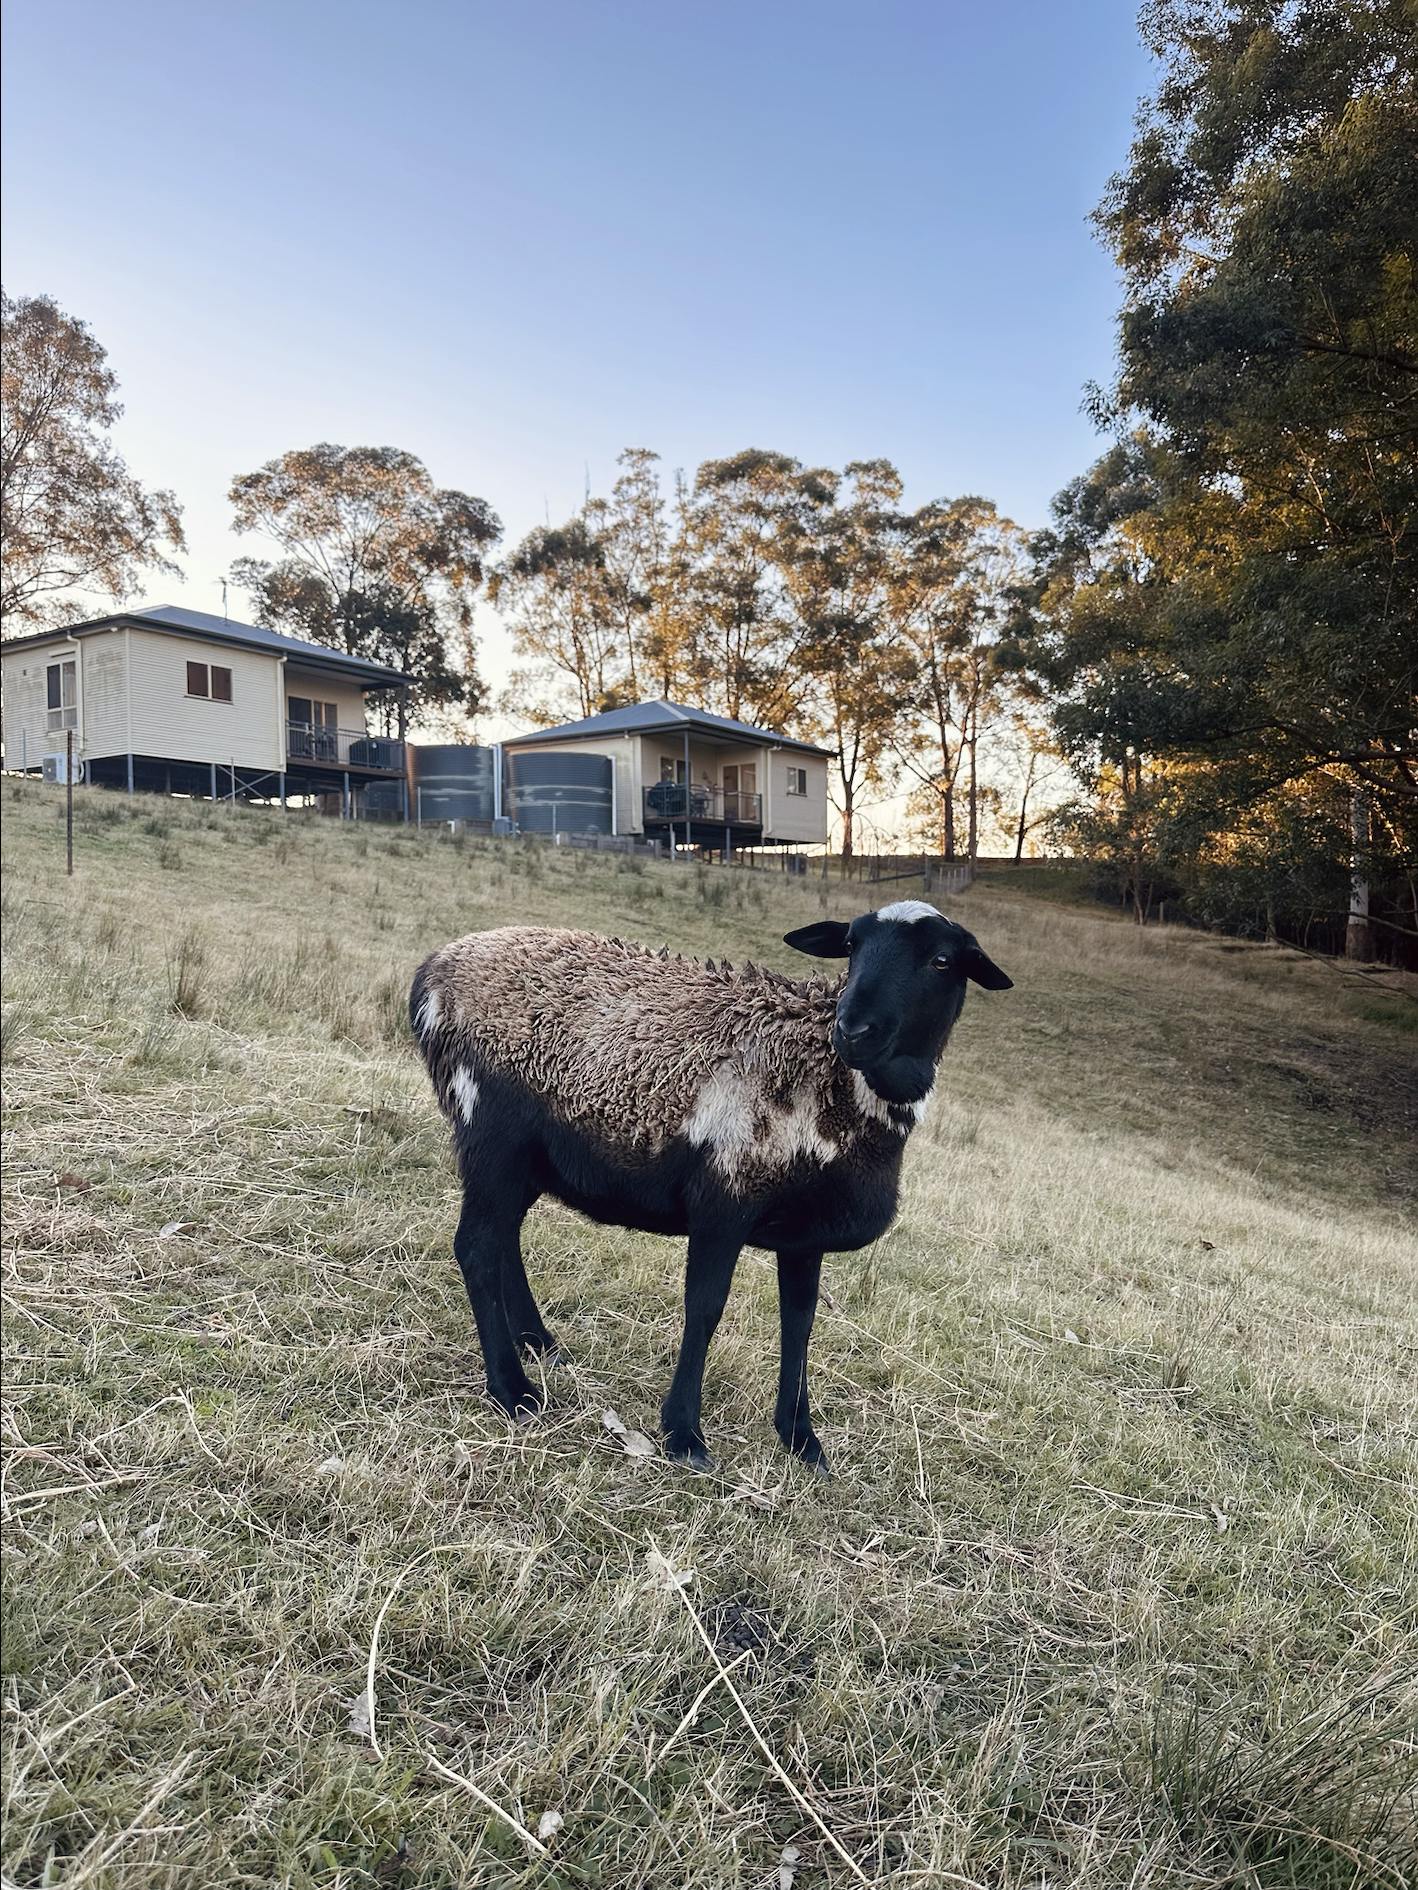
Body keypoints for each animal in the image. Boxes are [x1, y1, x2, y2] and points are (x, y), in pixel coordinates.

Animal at [410, 901, 1012, 1473]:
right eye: (851, 945)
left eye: (942, 961)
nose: (853, 1029)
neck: (833, 1081)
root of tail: (434, 970)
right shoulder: (724, 1199)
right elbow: (704, 1308)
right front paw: (684, 1435)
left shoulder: (806, 1234)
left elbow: (800, 1322)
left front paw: (801, 1439)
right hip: (493, 1133)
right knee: (477, 1246)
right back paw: (514, 1390)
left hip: (525, 1159)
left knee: (503, 1240)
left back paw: (540, 1345)